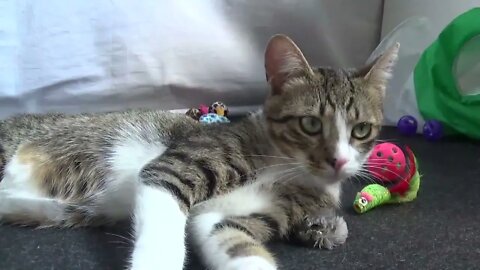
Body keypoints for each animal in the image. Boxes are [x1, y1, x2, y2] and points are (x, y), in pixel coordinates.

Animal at [0, 35, 398, 270]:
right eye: (311, 124)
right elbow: (162, 231)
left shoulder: (225, 220)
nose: (339, 161)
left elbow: (240, 248)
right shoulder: (172, 169)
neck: (286, 169)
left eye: (361, 130)